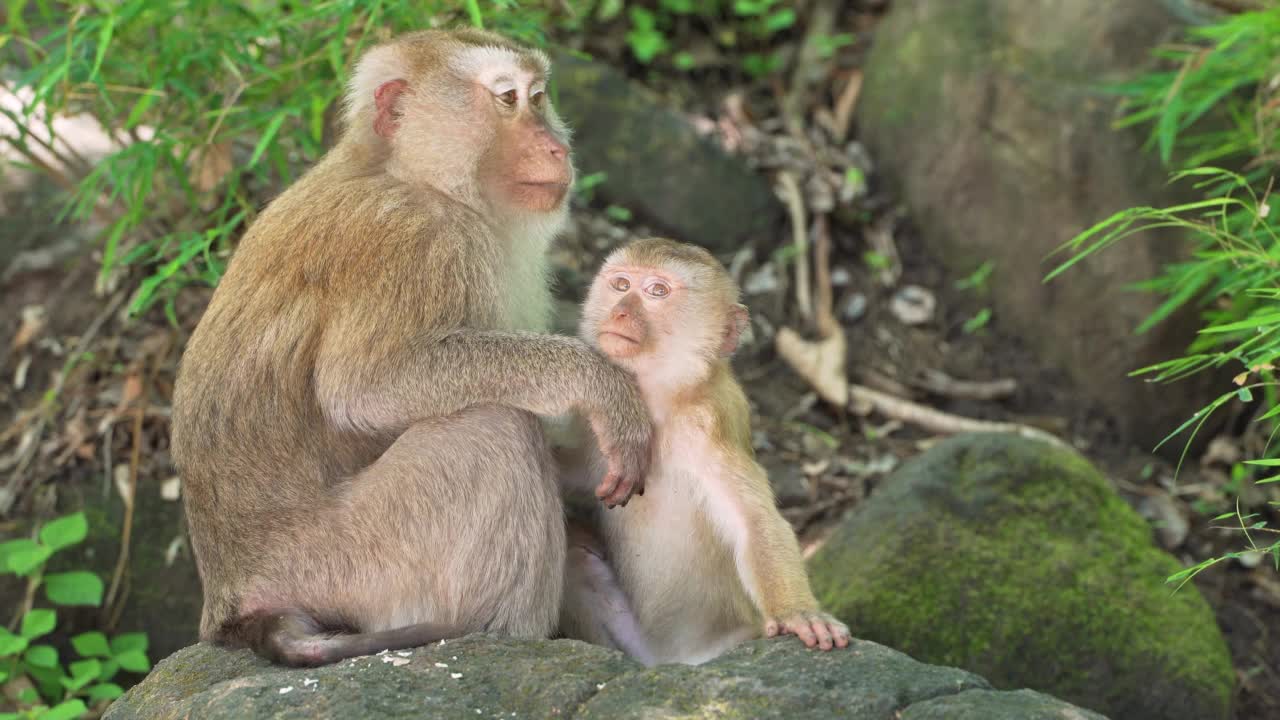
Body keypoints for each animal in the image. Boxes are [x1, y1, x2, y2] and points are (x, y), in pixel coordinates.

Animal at [170, 28, 650, 666]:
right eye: (506, 99)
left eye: (538, 96)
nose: (555, 147)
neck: (409, 174)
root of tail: (231, 602)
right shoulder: (415, 239)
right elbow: (366, 389)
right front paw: (599, 384)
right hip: (349, 561)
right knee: (495, 428)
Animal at [560, 238, 849, 666]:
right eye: (621, 284)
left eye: (657, 291)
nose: (620, 310)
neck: (660, 401)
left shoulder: (708, 429)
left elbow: (753, 522)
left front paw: (798, 613)